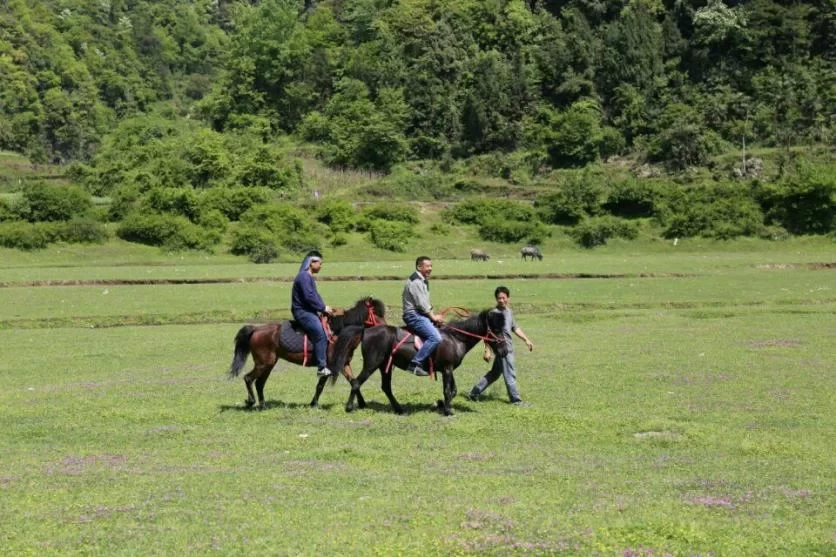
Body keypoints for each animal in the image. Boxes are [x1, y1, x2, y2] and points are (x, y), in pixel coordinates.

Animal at [227, 296, 386, 408]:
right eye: (376, 313)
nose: (386, 326)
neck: (339, 333)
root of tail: (256, 329)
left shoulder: (344, 364)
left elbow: (354, 381)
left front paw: (362, 403)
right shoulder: (328, 366)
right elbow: (320, 386)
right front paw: (314, 404)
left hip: (269, 364)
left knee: (259, 383)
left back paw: (263, 405)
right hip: (263, 363)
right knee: (248, 378)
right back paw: (251, 401)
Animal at [330, 310, 506, 414]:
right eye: (496, 330)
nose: (505, 350)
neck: (454, 339)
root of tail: (366, 330)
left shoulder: (447, 369)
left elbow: (453, 390)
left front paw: (442, 404)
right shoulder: (447, 369)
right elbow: (448, 390)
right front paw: (448, 410)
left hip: (385, 366)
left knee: (386, 387)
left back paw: (399, 409)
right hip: (372, 364)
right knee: (356, 382)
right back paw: (349, 407)